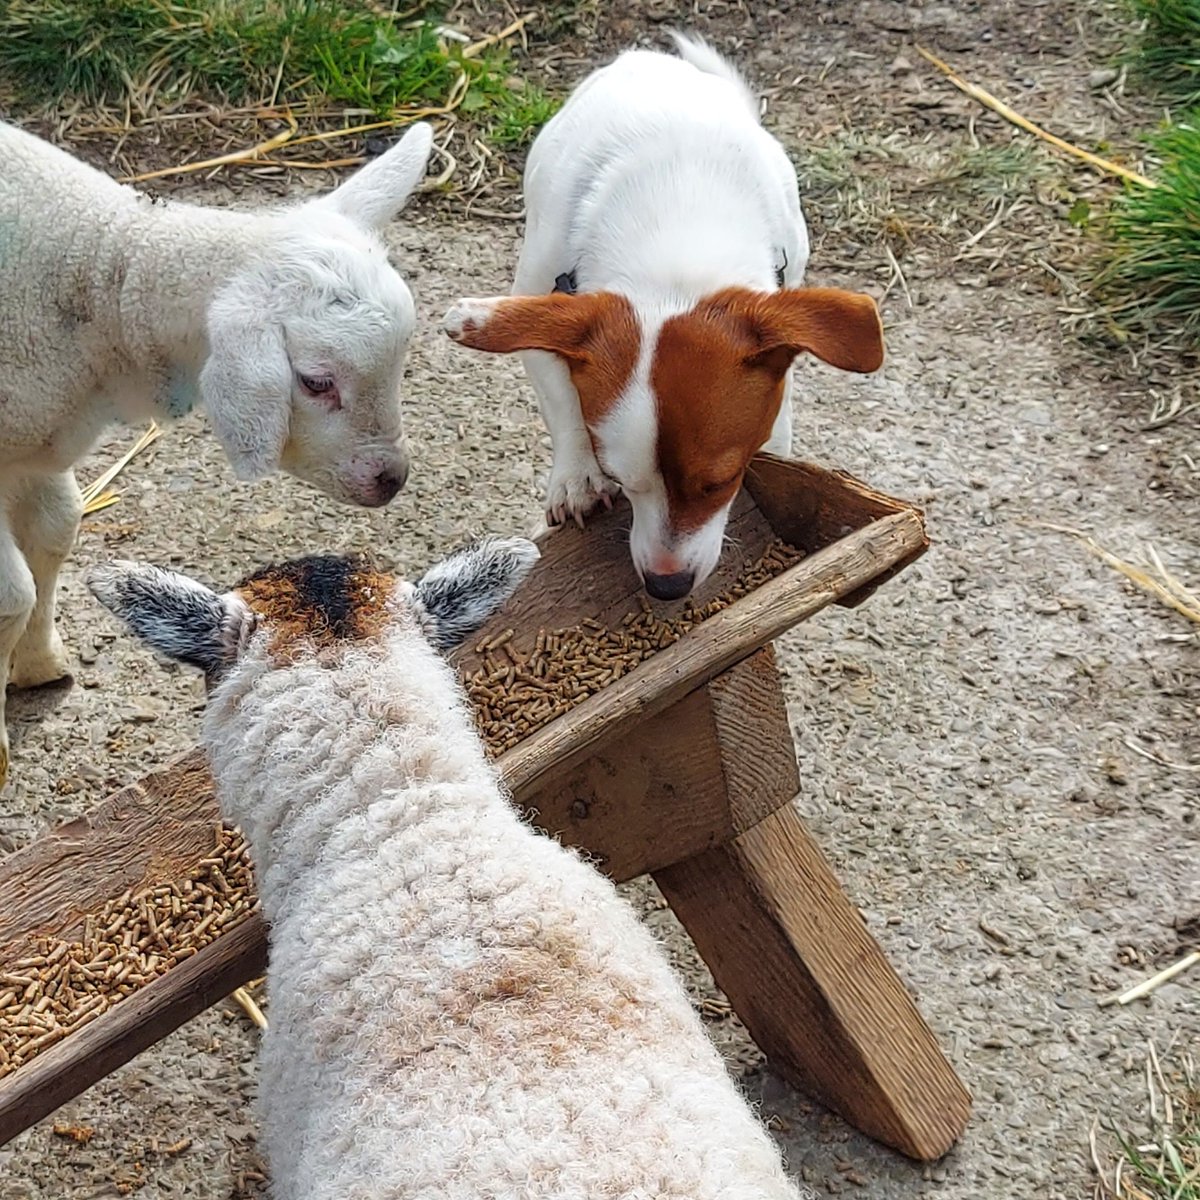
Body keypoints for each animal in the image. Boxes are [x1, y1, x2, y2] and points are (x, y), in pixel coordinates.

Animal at [0, 119, 432, 789]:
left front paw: (38, 661)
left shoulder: (31, 446)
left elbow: (54, 532)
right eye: (315, 382)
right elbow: (13, 593)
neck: (103, 265)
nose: (391, 478)